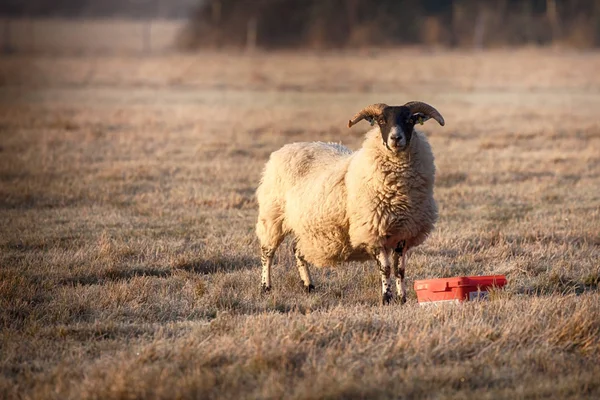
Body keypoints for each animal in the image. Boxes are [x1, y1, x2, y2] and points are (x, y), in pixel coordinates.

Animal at [255, 101, 442, 304]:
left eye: (410, 120)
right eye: (382, 121)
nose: (395, 138)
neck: (399, 194)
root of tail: (287, 148)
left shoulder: (404, 232)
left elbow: (400, 270)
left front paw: (402, 298)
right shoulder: (372, 231)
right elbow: (385, 269)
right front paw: (386, 298)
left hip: (305, 227)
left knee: (297, 250)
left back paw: (308, 285)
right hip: (272, 216)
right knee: (267, 253)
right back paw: (265, 287)